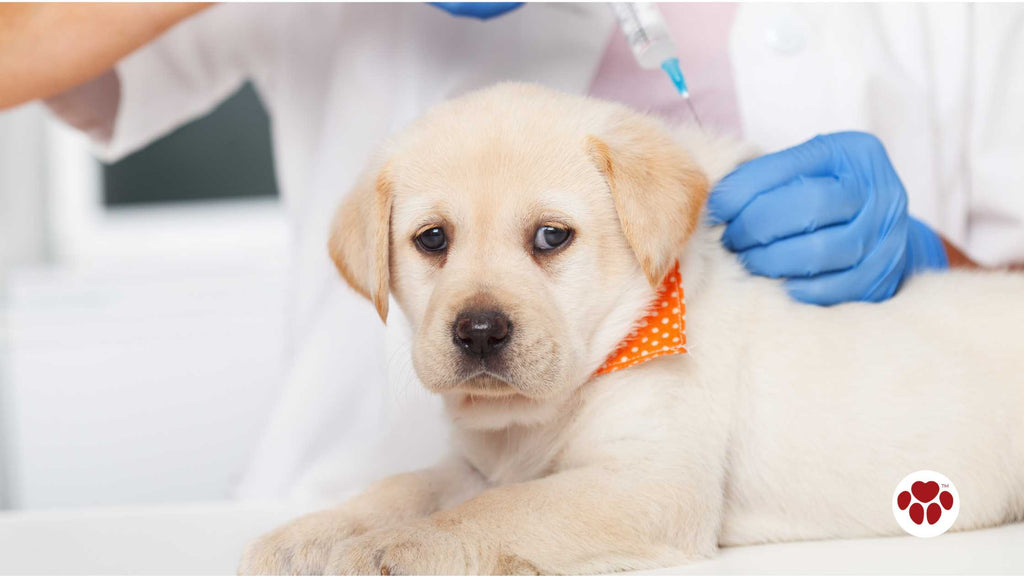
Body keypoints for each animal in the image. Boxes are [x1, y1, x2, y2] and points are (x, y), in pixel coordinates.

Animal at [239, 83, 1024, 569]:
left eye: (551, 237)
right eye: (432, 239)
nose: (480, 332)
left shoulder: (649, 482)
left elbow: (496, 510)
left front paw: (397, 548)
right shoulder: (475, 462)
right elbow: (403, 487)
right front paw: (310, 534)